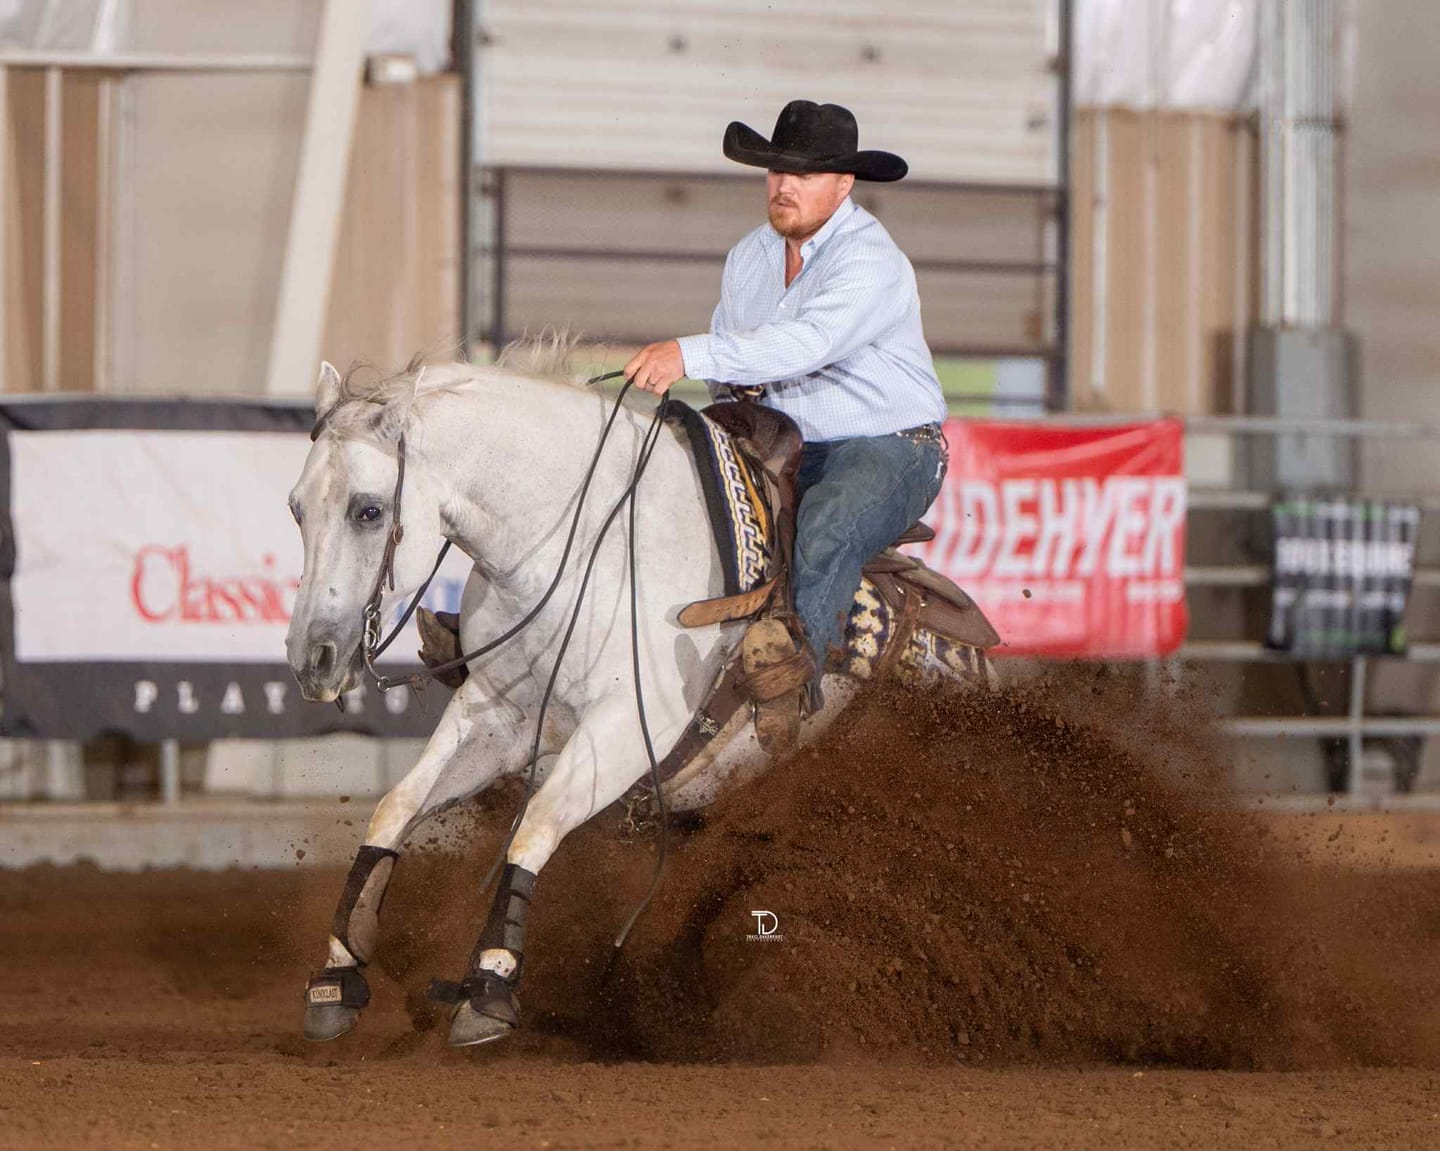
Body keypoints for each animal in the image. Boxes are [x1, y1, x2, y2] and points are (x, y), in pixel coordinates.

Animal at [285, 349, 988, 1047]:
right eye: (296, 508)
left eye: (368, 510)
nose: (311, 658)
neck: (580, 550)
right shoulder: (496, 712)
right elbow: (395, 809)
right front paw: (339, 972)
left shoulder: (623, 728)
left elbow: (537, 824)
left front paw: (488, 987)